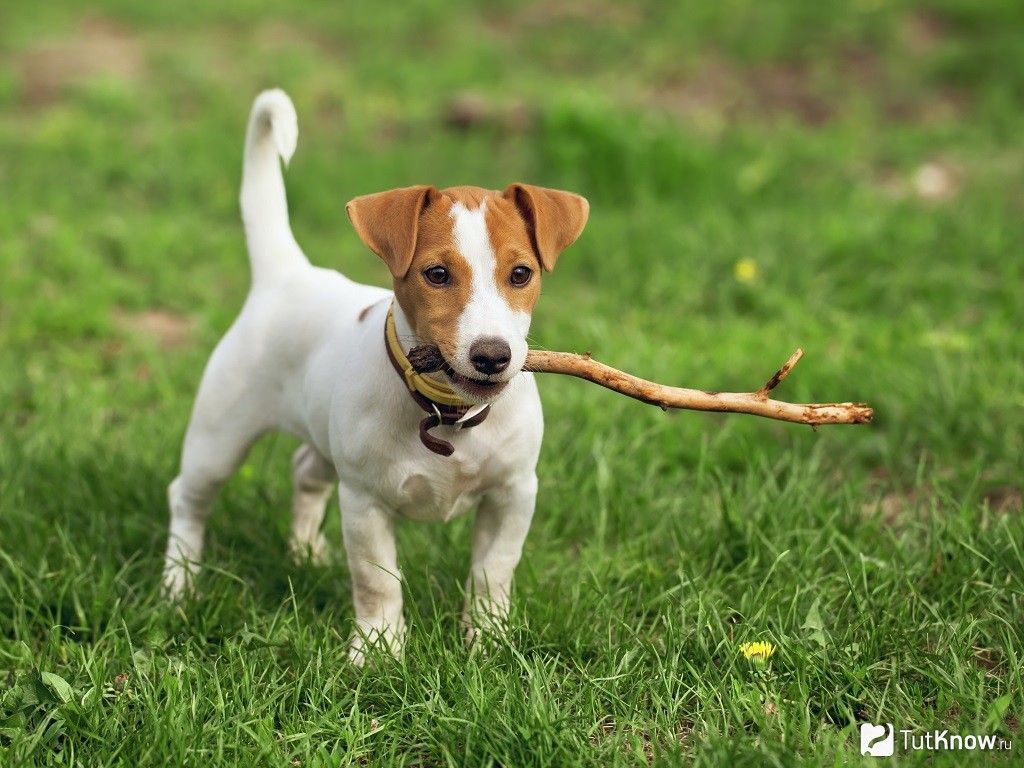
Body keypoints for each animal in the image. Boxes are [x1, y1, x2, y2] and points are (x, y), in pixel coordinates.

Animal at [163, 88, 589, 663]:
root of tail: (288, 273)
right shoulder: (365, 502)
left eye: (521, 274)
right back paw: (178, 583)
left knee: (304, 470)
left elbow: (492, 573)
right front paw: (379, 649)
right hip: (219, 436)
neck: (448, 413)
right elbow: (377, 580)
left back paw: (303, 552)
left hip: (321, 440)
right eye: (437, 274)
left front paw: (488, 639)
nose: (492, 355)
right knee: (188, 497)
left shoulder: (514, 492)